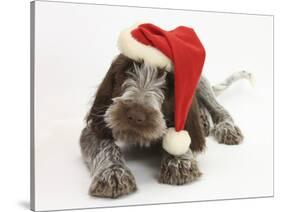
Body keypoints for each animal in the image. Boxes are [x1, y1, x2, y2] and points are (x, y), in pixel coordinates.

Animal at [79, 23, 252, 199]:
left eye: (168, 80)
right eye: (128, 70)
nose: (135, 115)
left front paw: (178, 160)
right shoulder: (94, 127)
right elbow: (104, 145)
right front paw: (112, 172)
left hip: (201, 84)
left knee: (219, 109)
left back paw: (226, 127)